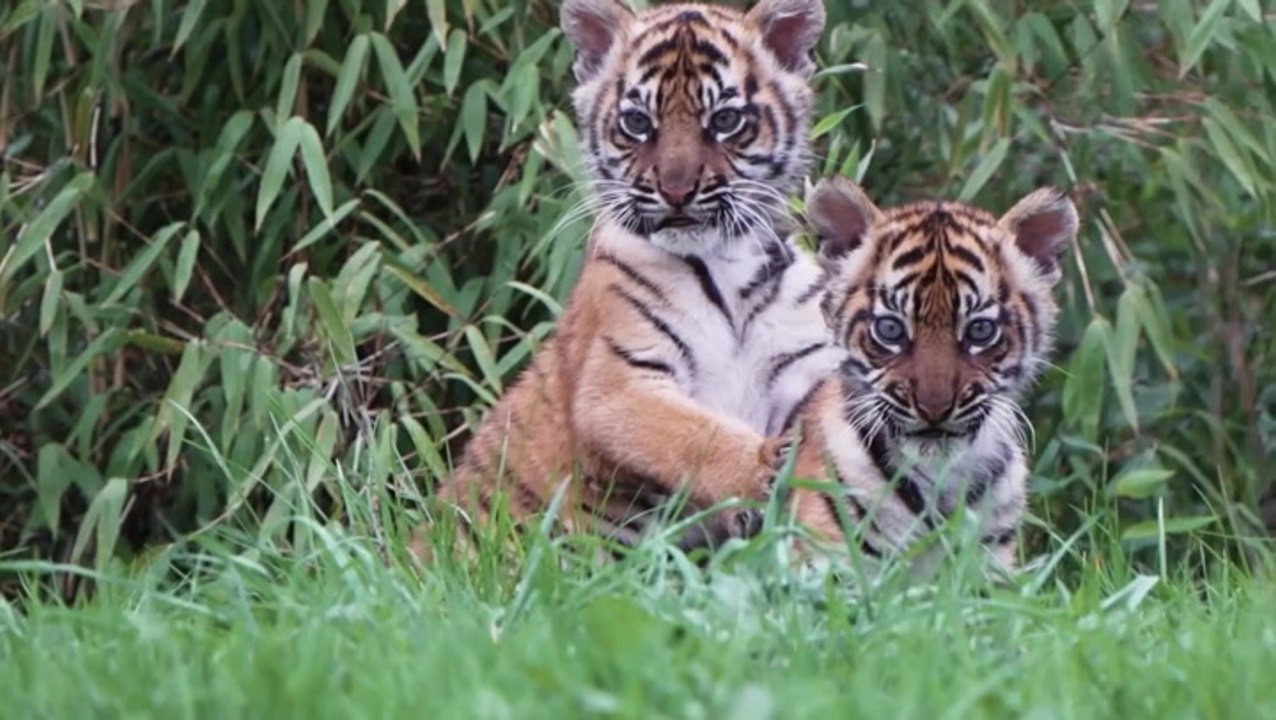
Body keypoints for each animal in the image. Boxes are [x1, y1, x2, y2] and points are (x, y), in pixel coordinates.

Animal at [429, 0, 838, 552]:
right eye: (638, 122)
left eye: (726, 120)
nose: (677, 190)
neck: (725, 264)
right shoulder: (619, 383)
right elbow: (694, 435)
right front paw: (768, 471)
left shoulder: (806, 364)